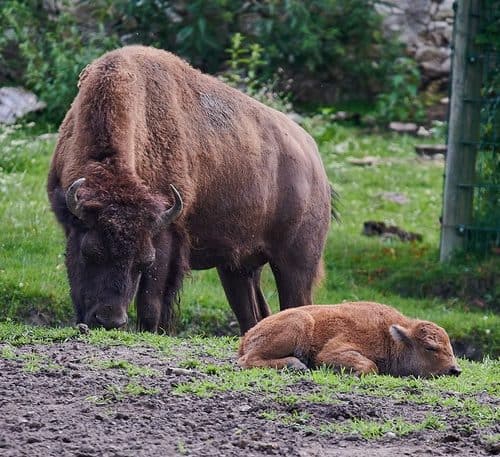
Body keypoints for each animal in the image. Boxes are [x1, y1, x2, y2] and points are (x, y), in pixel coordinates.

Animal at [47, 45, 332, 332]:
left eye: (144, 261)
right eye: (90, 252)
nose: (110, 320)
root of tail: (314, 158)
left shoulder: (165, 235)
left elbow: (151, 305)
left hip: (295, 264)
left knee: (297, 301)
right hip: (238, 268)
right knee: (254, 314)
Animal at [238, 300, 460, 378]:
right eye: (430, 347)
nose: (455, 370)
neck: (391, 337)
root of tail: (246, 336)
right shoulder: (333, 351)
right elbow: (370, 366)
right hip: (299, 322)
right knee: (247, 361)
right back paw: (297, 365)